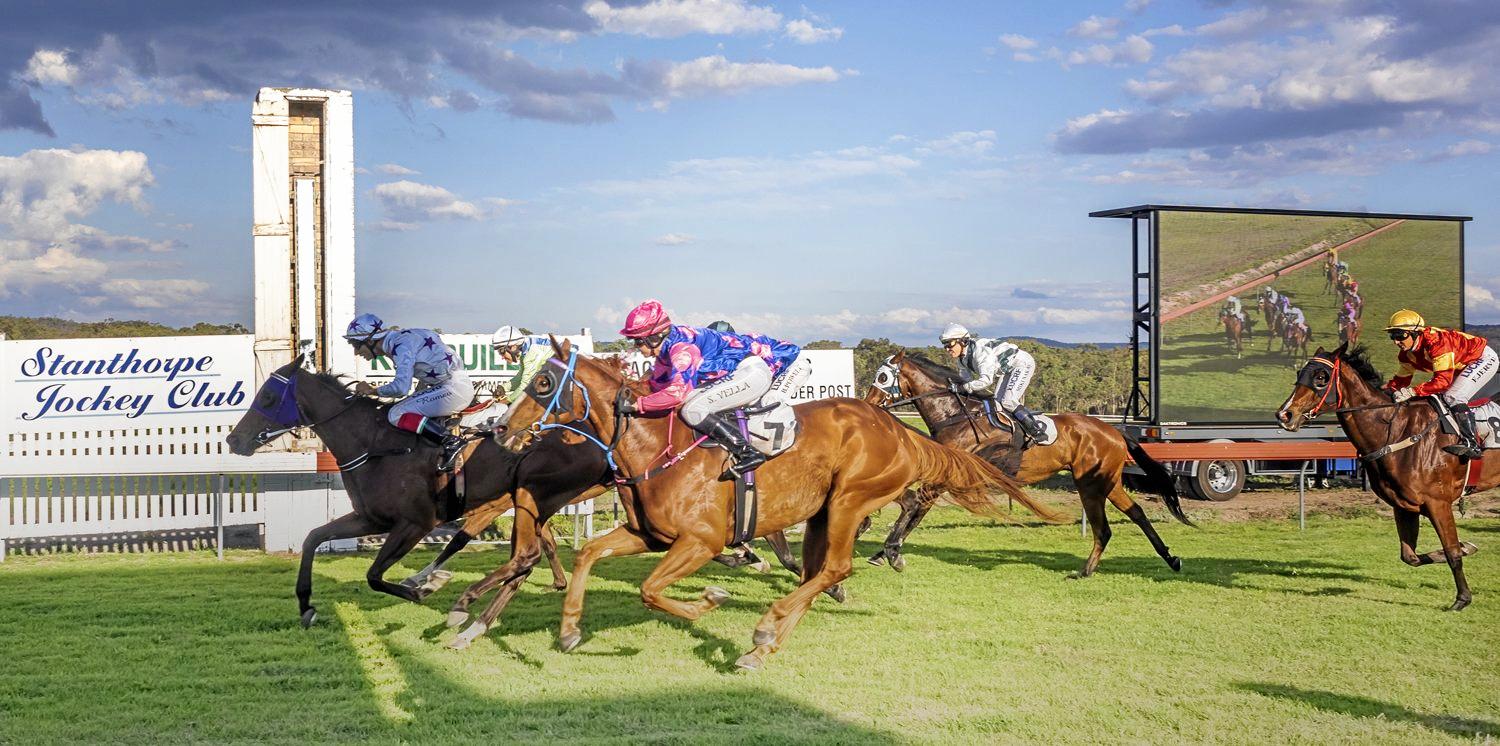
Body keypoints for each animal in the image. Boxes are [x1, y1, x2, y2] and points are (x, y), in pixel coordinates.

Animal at [495, 337, 1068, 669]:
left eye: (543, 381)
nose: (499, 429)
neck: (653, 443)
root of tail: (899, 429)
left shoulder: (700, 541)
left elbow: (652, 590)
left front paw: (709, 601)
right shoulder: (648, 535)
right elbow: (589, 554)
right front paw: (570, 630)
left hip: (849, 500)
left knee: (836, 567)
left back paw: (769, 625)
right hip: (822, 512)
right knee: (819, 572)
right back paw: (762, 646)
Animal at [864, 352, 1188, 576]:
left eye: (883, 377)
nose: (868, 403)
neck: (956, 415)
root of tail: (1113, 431)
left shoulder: (945, 477)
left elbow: (916, 509)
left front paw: (890, 552)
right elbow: (913, 508)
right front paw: (883, 550)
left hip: (1091, 483)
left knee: (1105, 527)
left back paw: (1085, 570)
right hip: (1107, 482)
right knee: (1136, 513)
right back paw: (1170, 559)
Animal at [1278, 346, 1488, 606]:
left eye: (1321, 377)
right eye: (1300, 373)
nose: (1285, 414)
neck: (1399, 431)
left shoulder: (1438, 502)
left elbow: (1452, 551)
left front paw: (1463, 598)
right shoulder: (1404, 505)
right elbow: (1410, 556)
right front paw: (1468, 546)